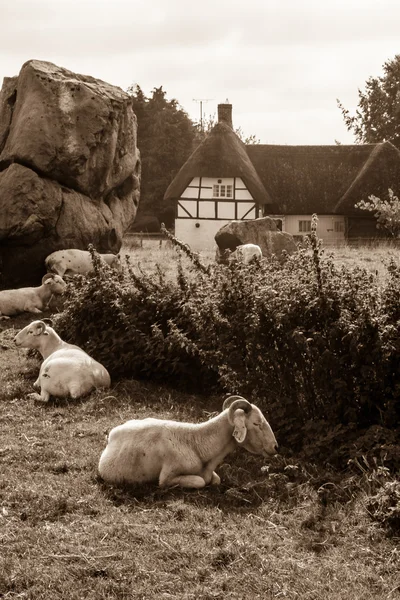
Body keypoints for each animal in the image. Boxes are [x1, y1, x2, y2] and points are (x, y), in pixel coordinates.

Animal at [97, 396, 278, 490]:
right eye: (256, 423)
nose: (276, 446)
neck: (196, 443)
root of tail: (111, 434)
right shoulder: (167, 477)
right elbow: (200, 481)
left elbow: (216, 479)